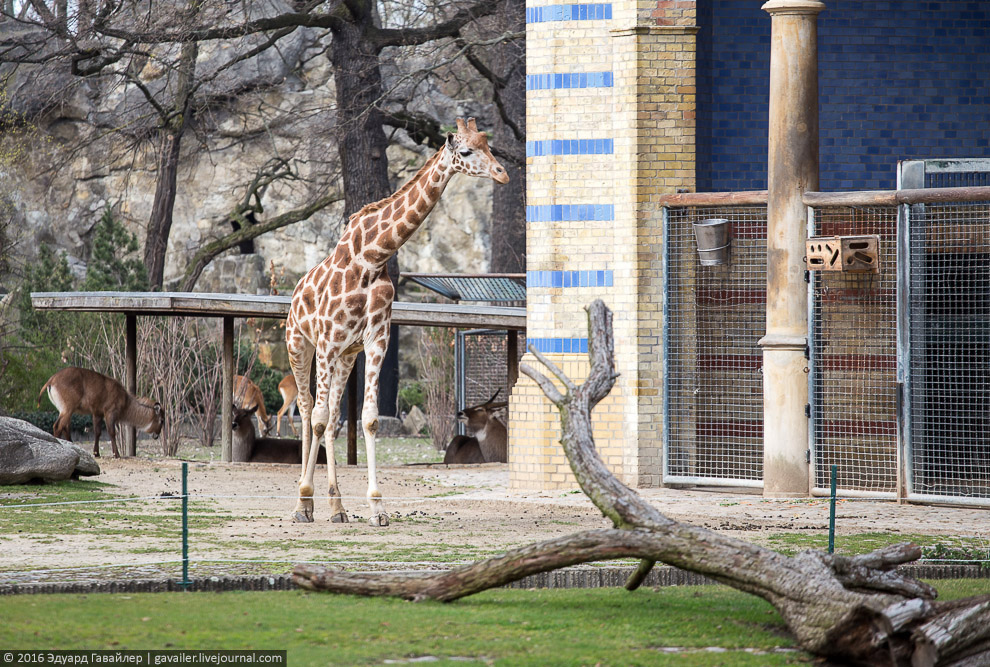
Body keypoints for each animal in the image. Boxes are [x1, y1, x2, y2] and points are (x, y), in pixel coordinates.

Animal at [282, 120, 508, 528]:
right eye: (466, 151)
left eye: (489, 145)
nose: (502, 173)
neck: (372, 256)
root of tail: (294, 294)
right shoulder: (327, 341)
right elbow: (318, 419)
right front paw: (306, 500)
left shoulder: (374, 340)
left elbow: (368, 419)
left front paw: (377, 508)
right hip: (300, 346)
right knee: (308, 413)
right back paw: (303, 503)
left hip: (345, 357)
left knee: (333, 417)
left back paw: (337, 507)